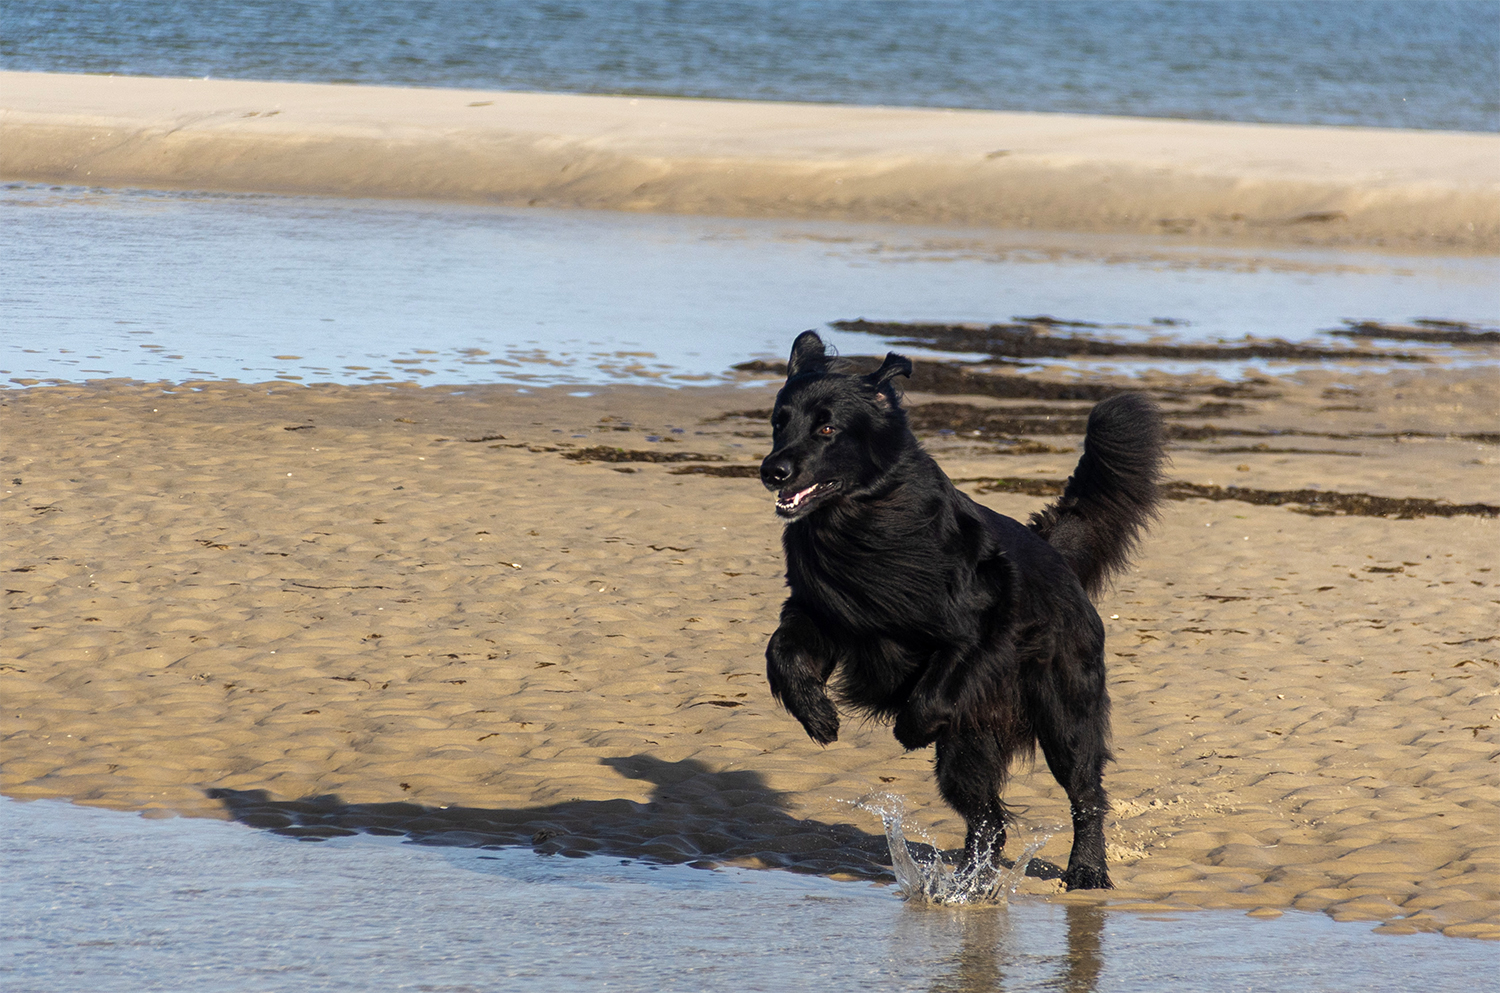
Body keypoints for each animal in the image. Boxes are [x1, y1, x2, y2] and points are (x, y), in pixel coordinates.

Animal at [759, 331, 1164, 890]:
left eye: (826, 428)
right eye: (779, 421)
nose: (771, 470)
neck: (862, 522)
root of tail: (1056, 554)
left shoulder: (981, 626)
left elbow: (933, 692)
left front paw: (909, 729)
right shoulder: (825, 613)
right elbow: (781, 650)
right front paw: (817, 716)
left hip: (1063, 714)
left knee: (1085, 794)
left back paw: (1085, 870)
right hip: (971, 747)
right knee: (989, 820)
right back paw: (967, 887)